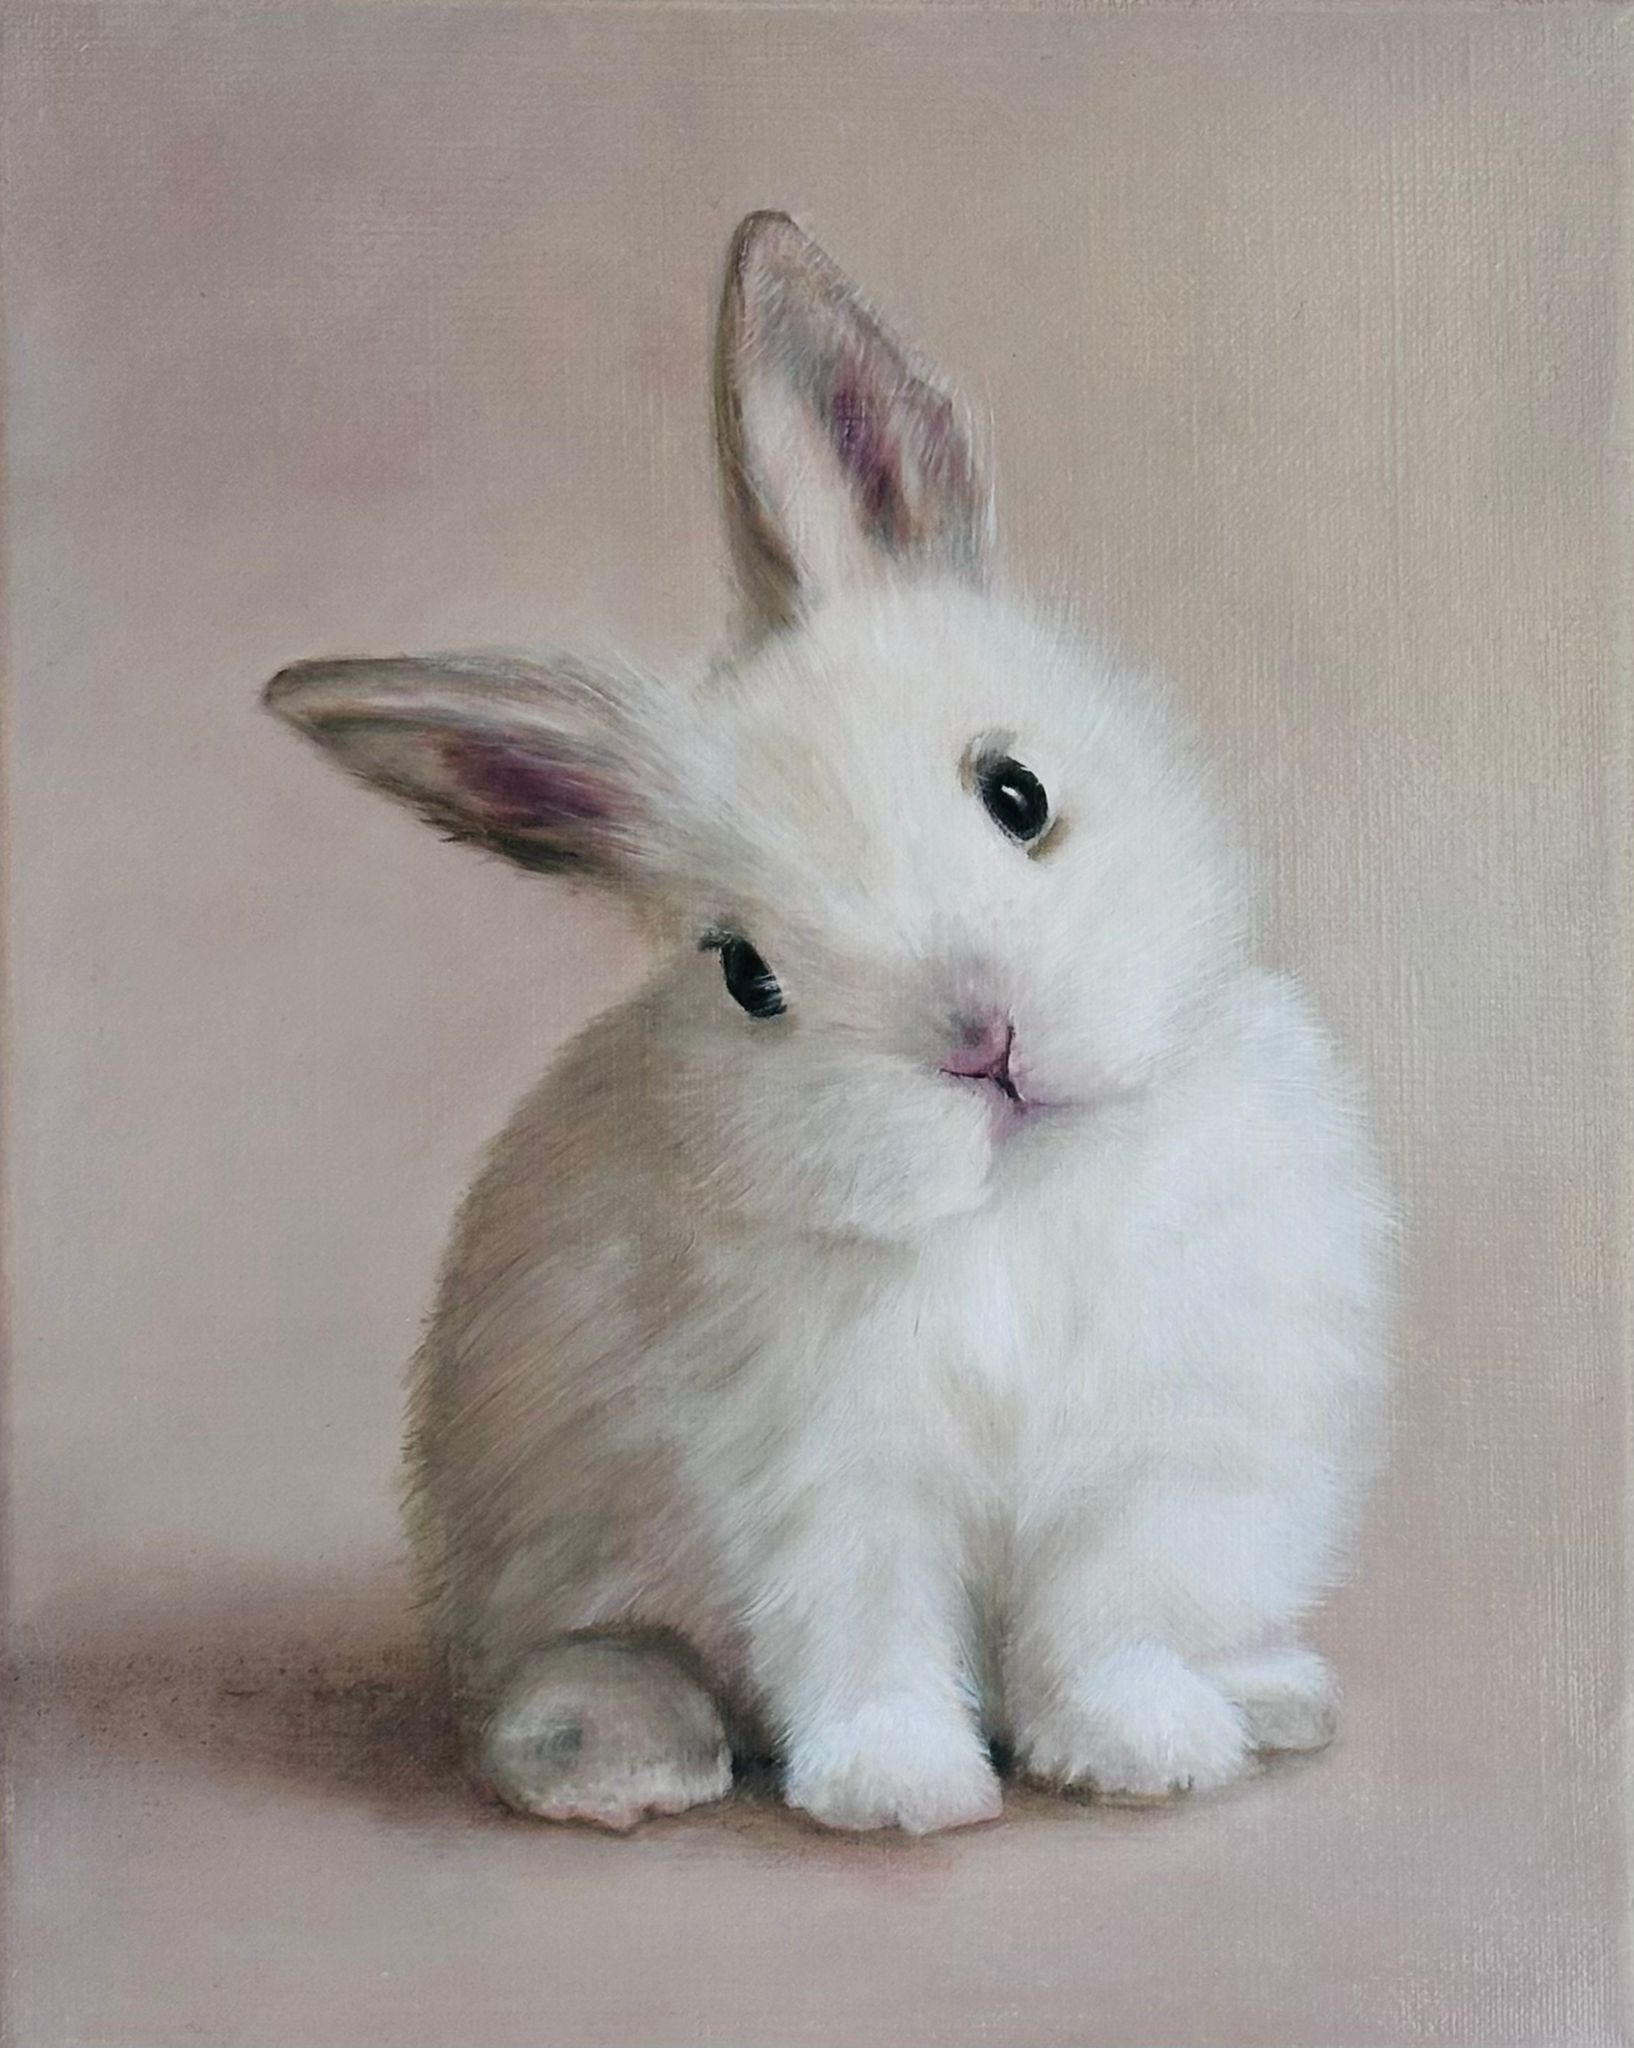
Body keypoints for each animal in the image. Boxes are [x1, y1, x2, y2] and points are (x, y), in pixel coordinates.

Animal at [264, 212, 1391, 1835]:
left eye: (1014, 792)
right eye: (746, 974)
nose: (980, 1042)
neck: (1012, 1206)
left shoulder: (1151, 1463)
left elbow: (1101, 1624)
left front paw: (1140, 1753)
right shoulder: (821, 1488)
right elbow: (864, 1634)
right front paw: (901, 1791)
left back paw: (1264, 1694)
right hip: (547, 1588)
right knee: (577, 1667)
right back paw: (614, 1754)